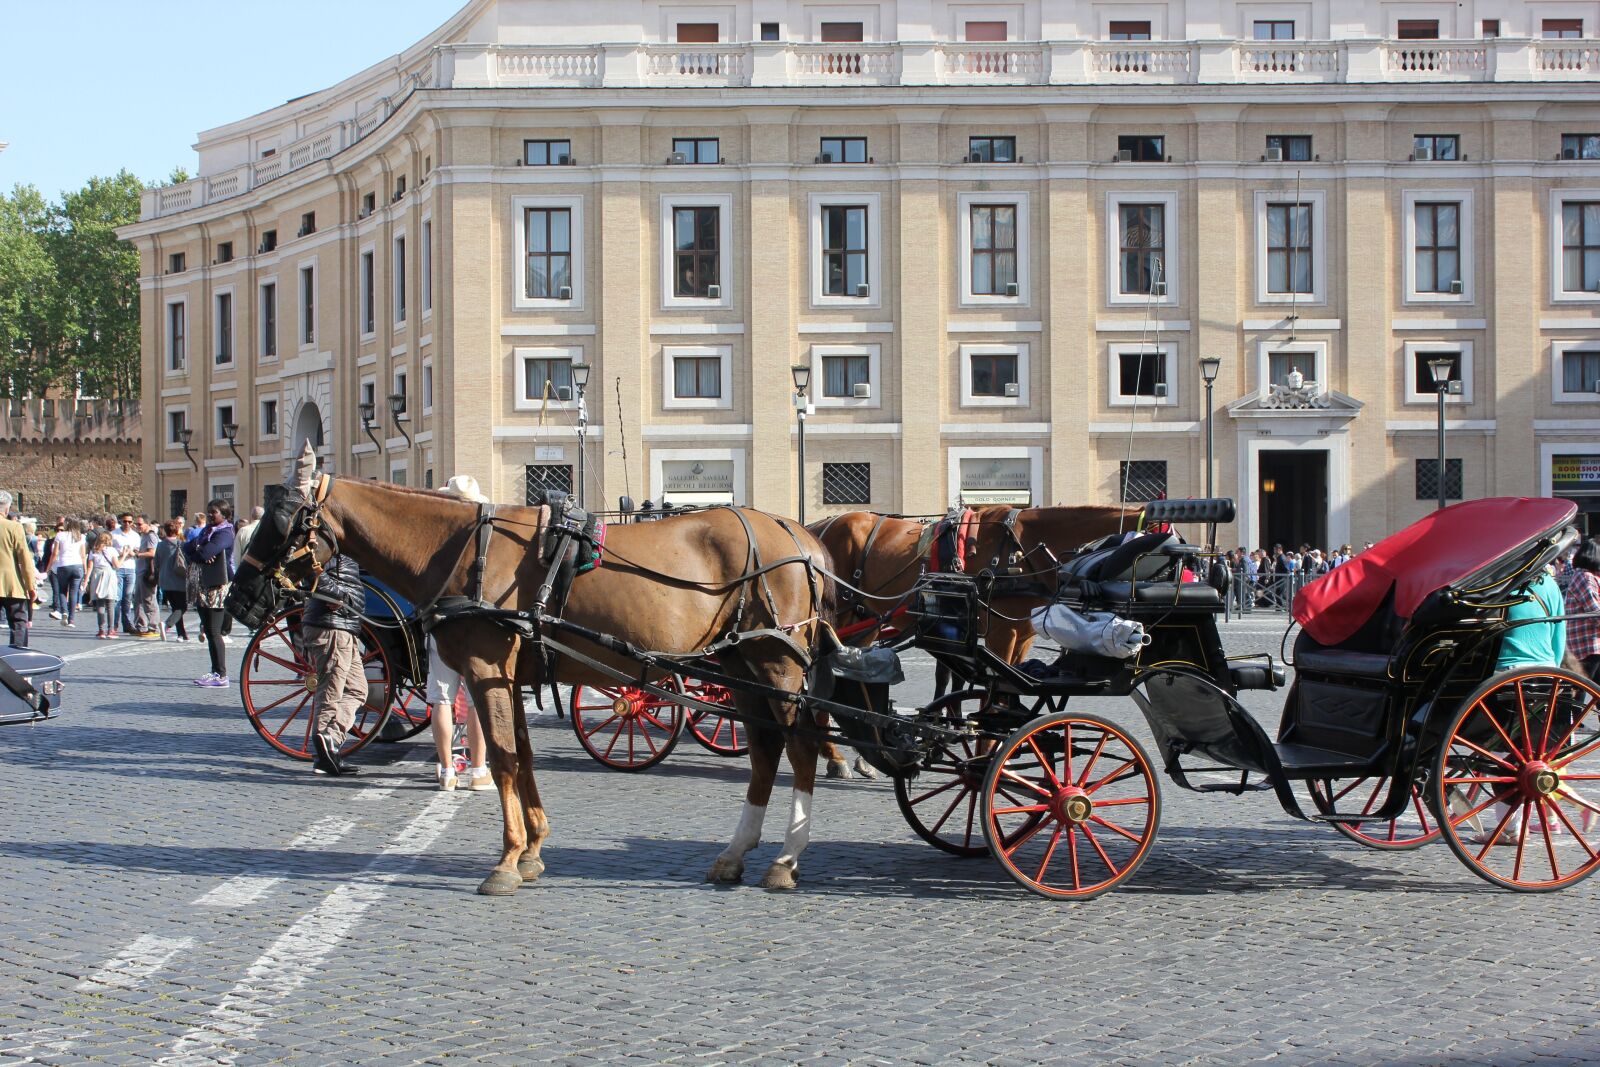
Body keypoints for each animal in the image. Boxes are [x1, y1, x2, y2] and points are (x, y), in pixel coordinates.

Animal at [231, 444, 836, 896]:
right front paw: (533, 850)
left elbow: (501, 758)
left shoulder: (486, 670)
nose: (238, 599)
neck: (462, 549)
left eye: (281, 521)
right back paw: (736, 854)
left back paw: (786, 859)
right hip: (743, 666)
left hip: (777, 667)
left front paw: (507, 859)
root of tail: (801, 534)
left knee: (800, 746)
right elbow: (520, 757)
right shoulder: (511, 676)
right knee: (764, 752)